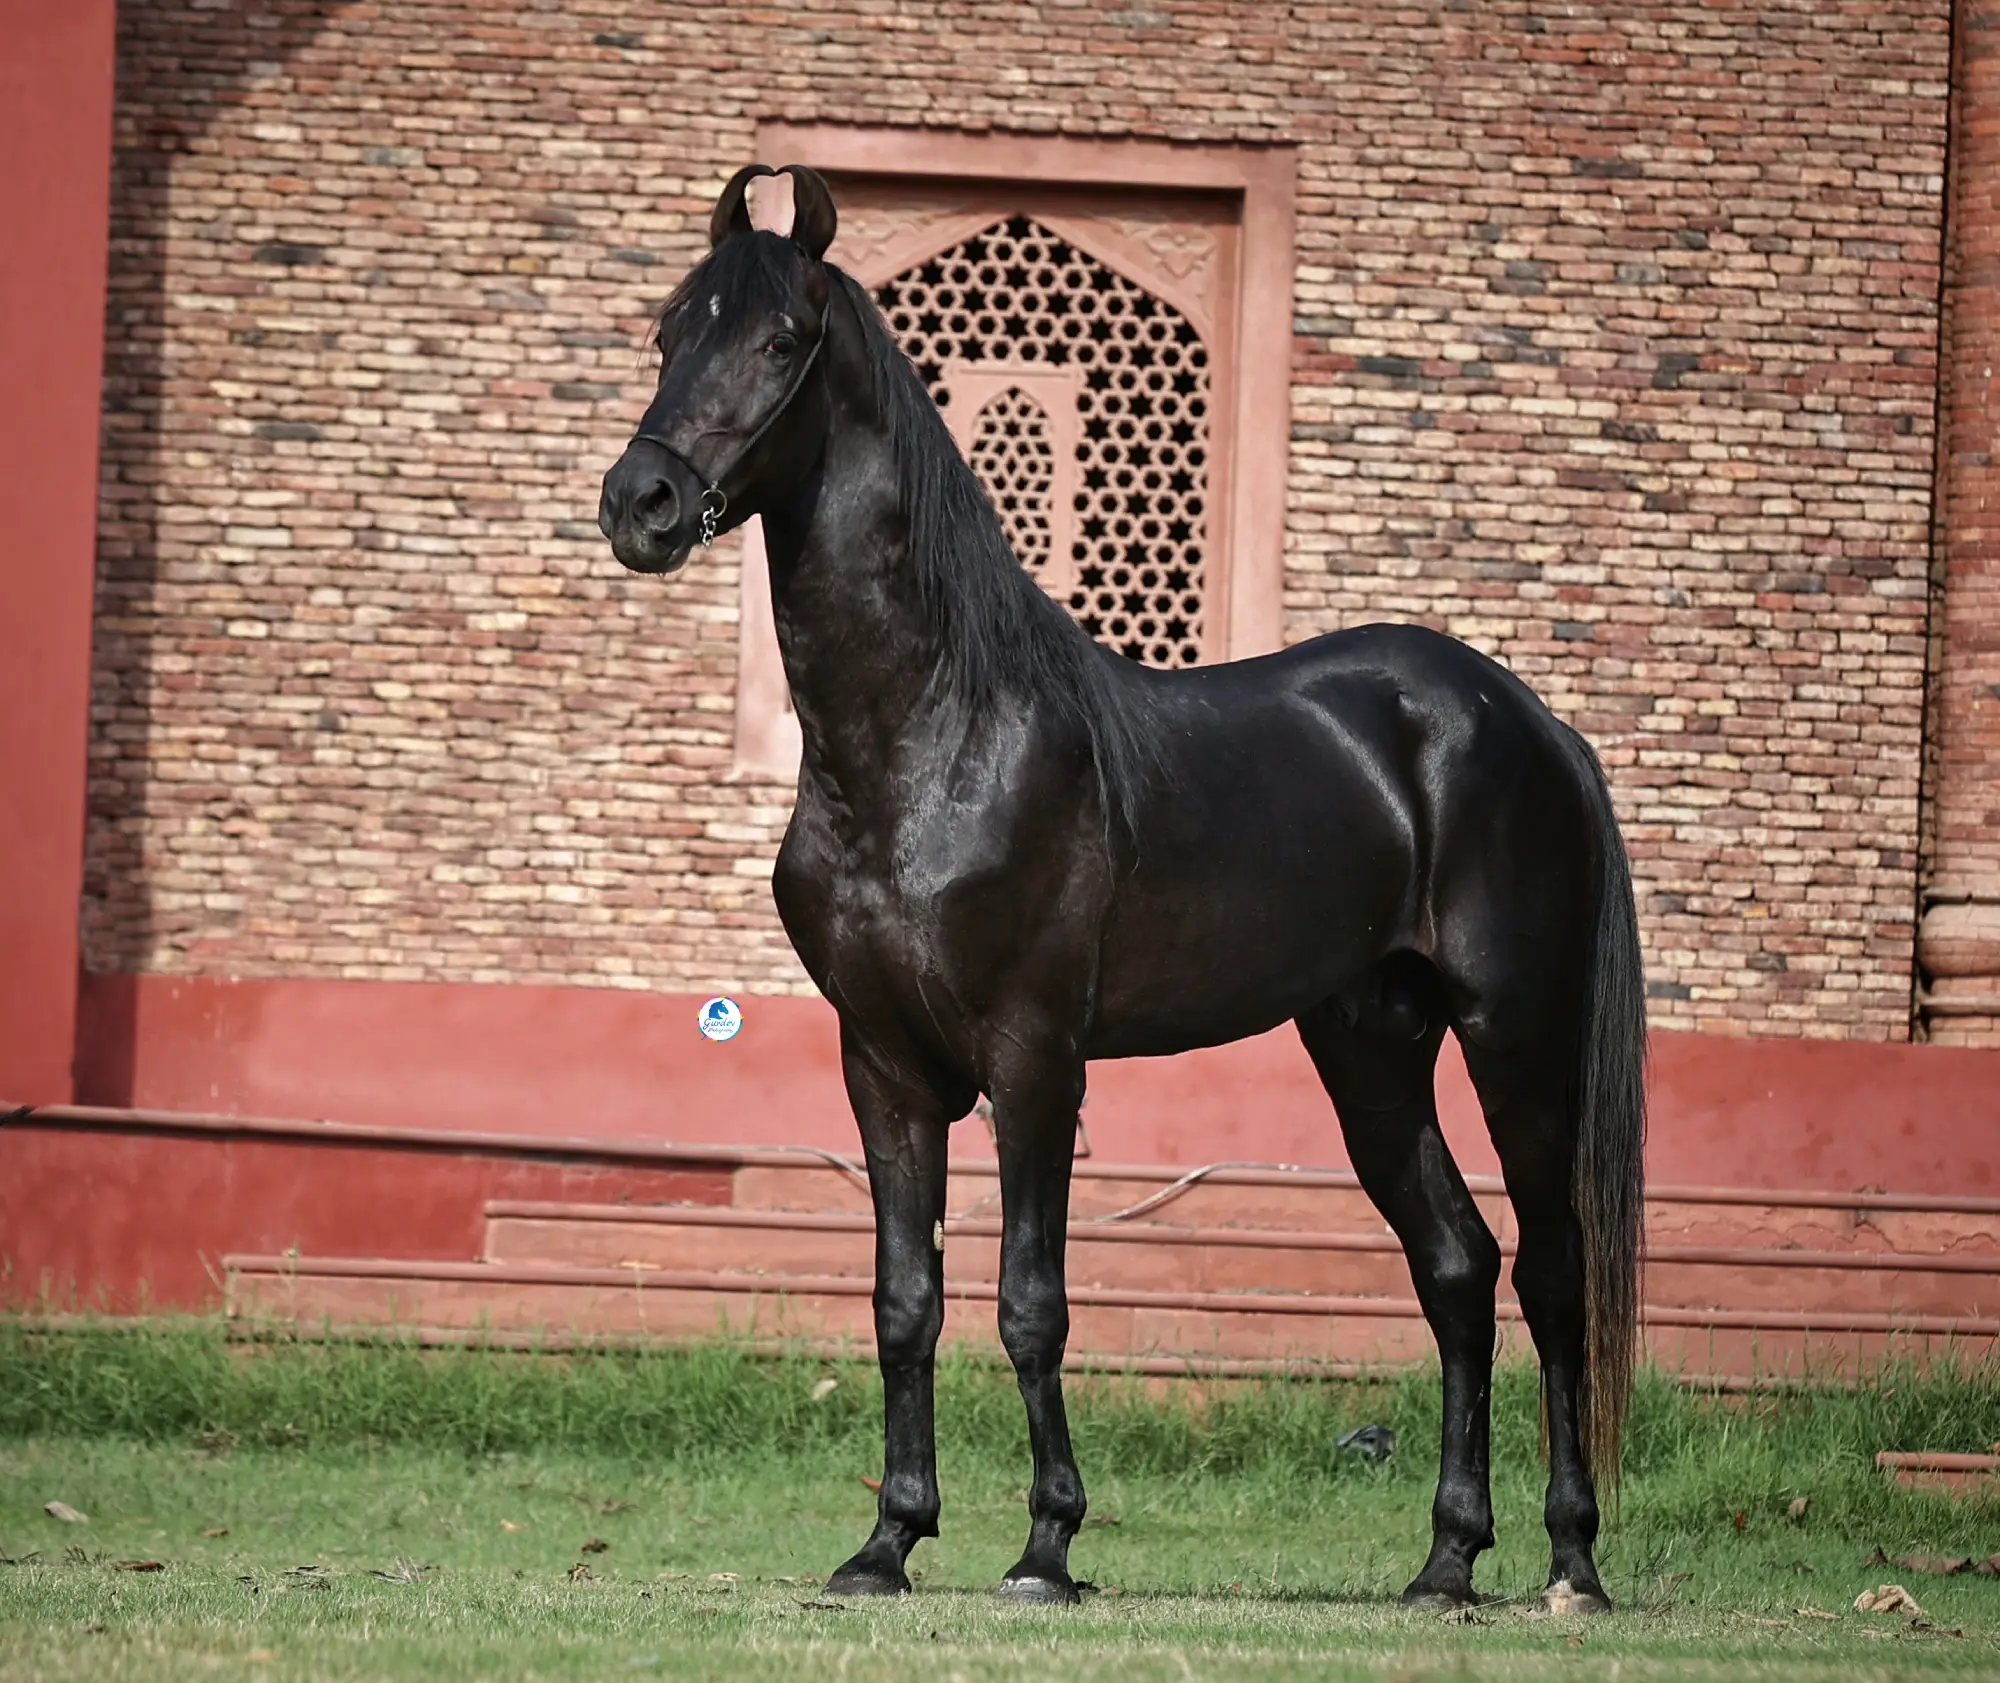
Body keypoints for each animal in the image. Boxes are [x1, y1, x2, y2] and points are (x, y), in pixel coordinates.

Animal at [597, 164, 1646, 1614]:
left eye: (778, 340)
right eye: (666, 332)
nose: (639, 502)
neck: (934, 737)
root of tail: (1531, 721)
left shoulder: (1036, 1053)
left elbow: (1029, 1299)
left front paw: (1045, 1547)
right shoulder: (884, 1063)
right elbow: (904, 1299)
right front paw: (887, 1542)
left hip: (1516, 1038)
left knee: (1550, 1273)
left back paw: (1572, 1563)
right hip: (1371, 1046)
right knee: (1455, 1264)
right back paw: (1444, 1560)